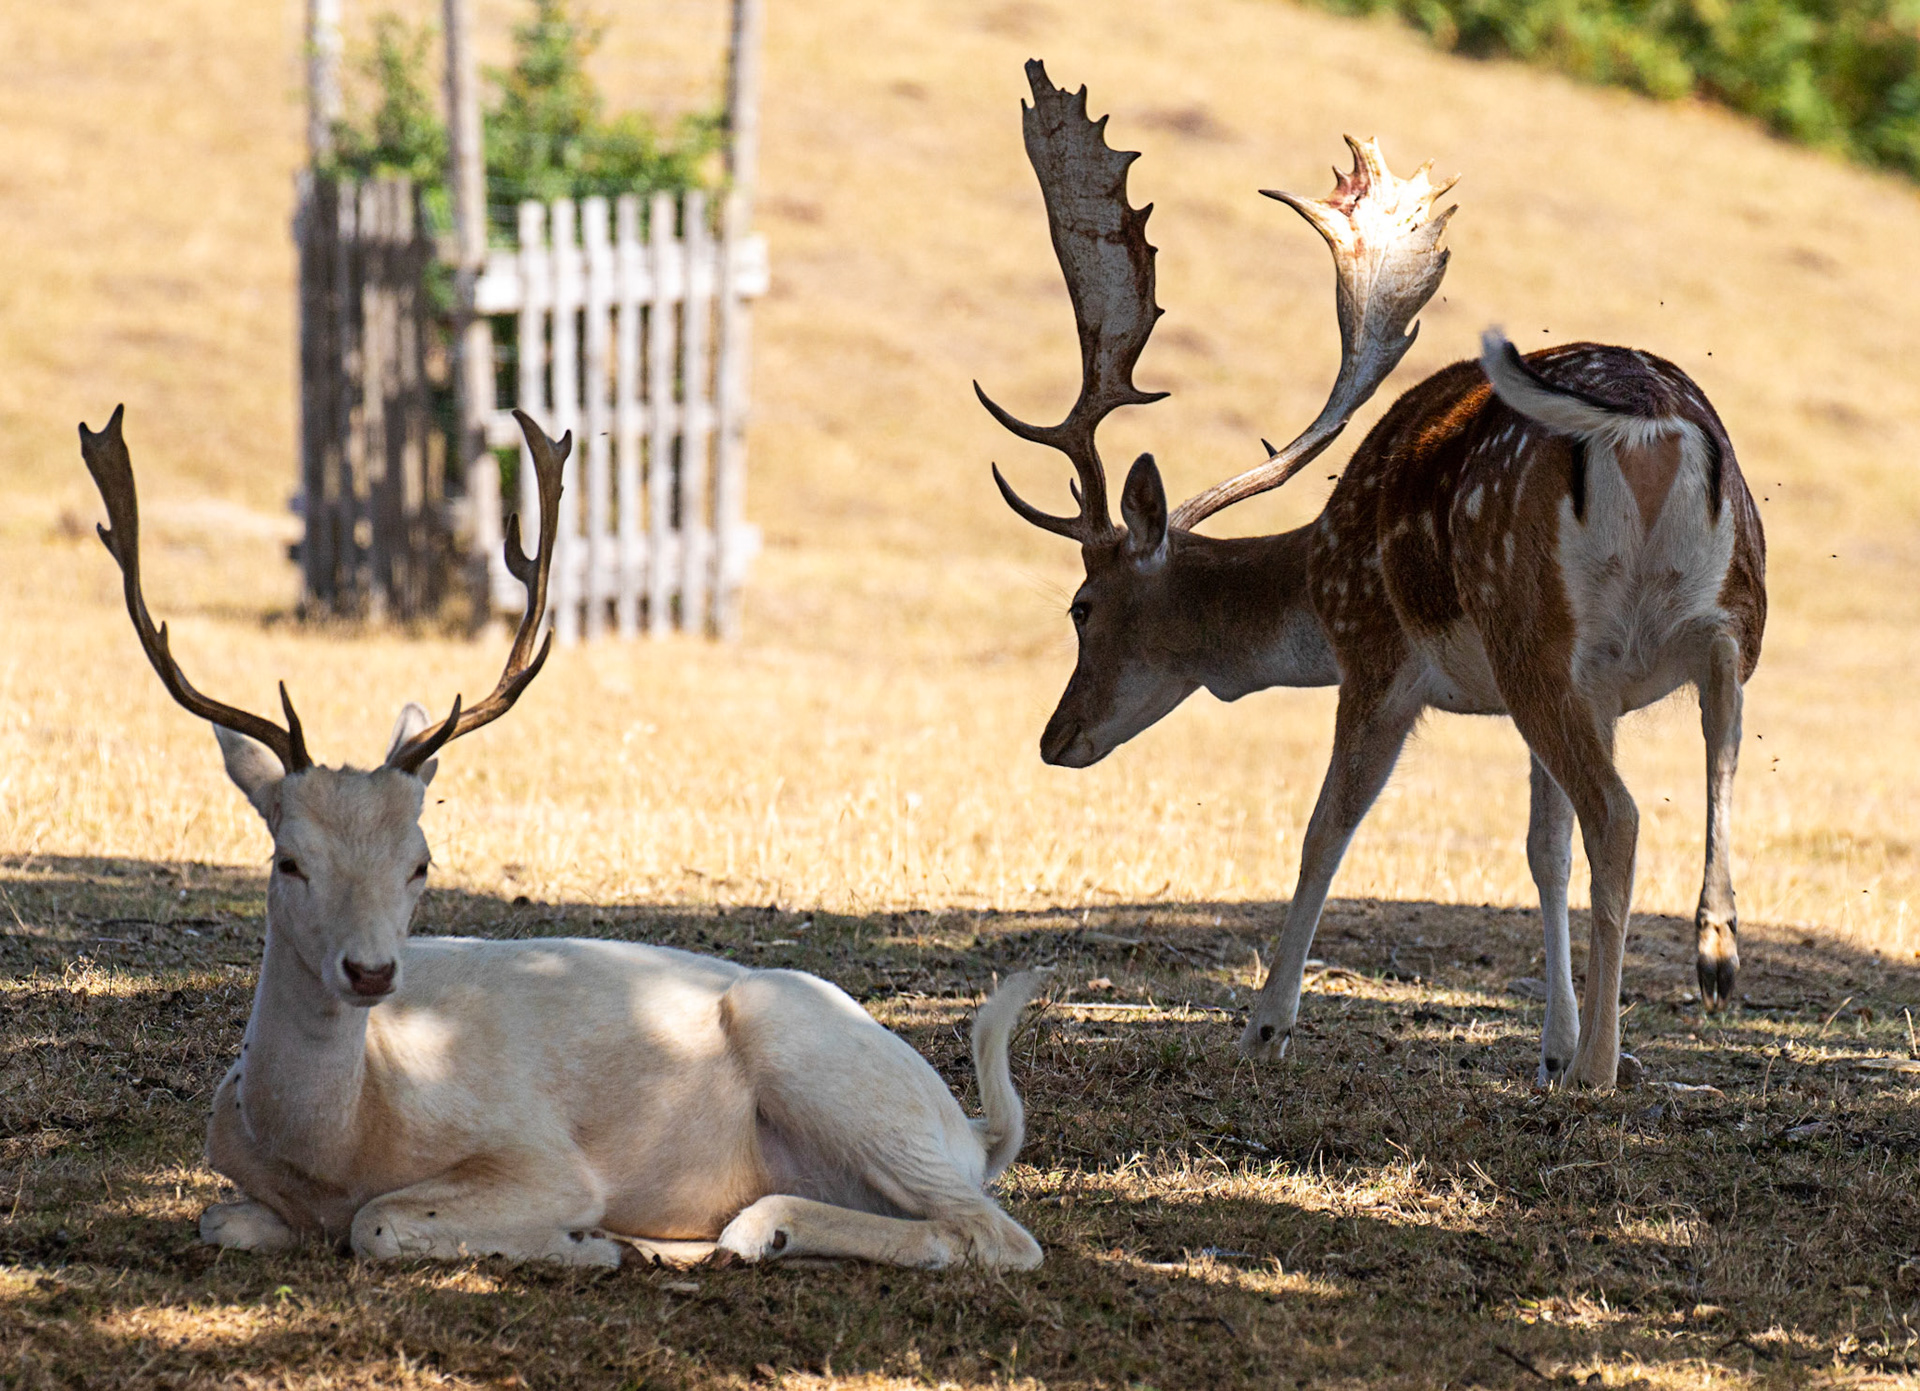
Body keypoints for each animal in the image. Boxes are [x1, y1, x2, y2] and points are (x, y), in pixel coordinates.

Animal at [78, 406, 1048, 1269]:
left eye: (421, 861)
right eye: (288, 859)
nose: (372, 971)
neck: (337, 1141)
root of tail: (968, 1128)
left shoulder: (539, 1152)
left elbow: (379, 1223)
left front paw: (584, 1243)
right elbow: (222, 1218)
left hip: (819, 1057)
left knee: (997, 1233)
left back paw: (753, 1229)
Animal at [978, 62, 1765, 1091]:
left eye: (1080, 605)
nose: (1053, 737)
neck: (1315, 575)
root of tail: (1652, 427)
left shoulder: (1377, 659)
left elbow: (1326, 827)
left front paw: (1265, 1025)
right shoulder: (1589, 698)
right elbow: (1543, 849)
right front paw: (1547, 1042)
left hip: (1530, 628)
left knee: (1623, 816)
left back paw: (1601, 1064)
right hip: (1724, 609)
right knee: (1718, 731)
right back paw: (1713, 955)